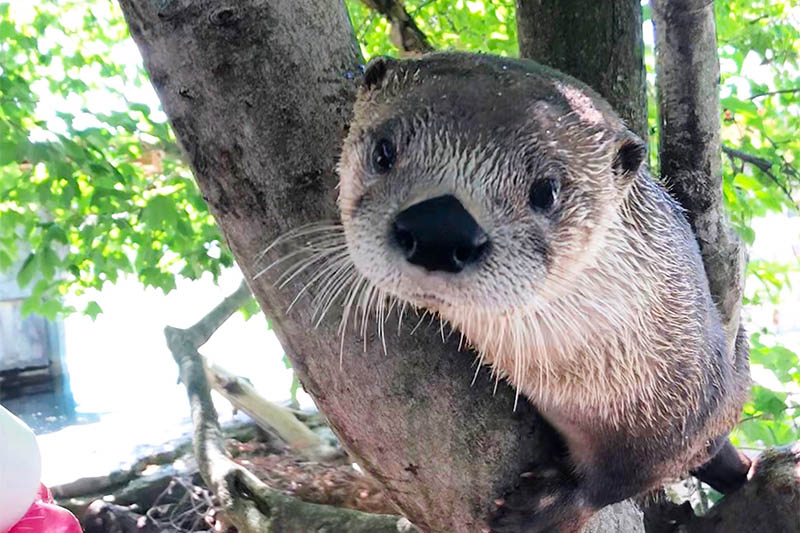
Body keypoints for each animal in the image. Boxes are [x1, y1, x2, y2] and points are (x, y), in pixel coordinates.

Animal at [265, 52, 751, 532]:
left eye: (546, 191)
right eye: (384, 151)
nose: (439, 229)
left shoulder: (695, 400)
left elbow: (628, 474)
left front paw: (548, 504)